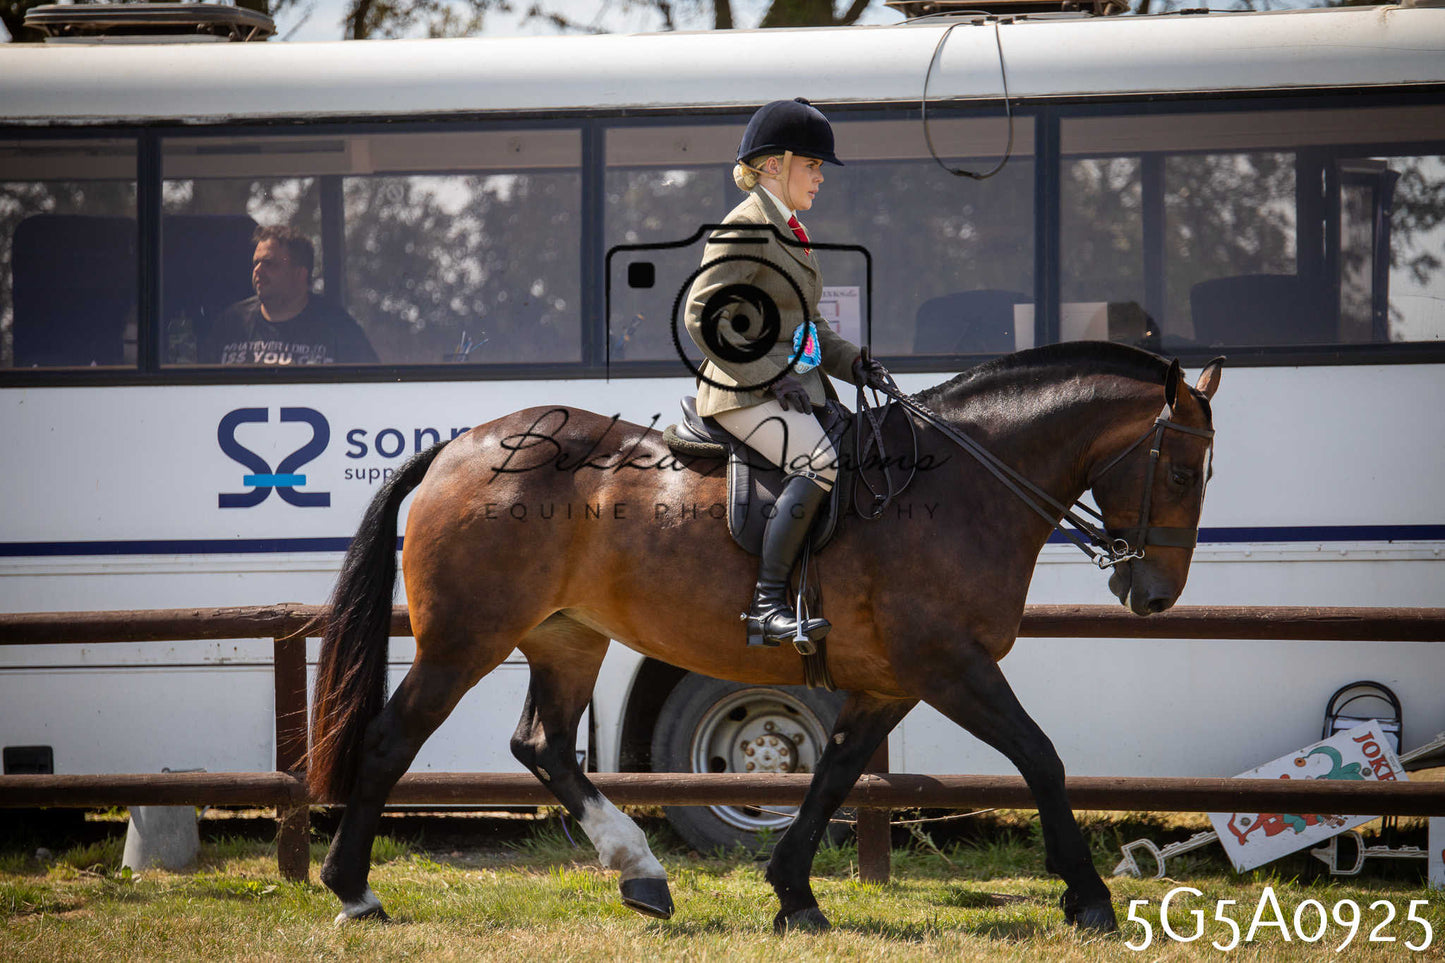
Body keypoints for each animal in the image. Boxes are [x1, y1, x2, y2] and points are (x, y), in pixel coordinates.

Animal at [308, 341, 1222, 933]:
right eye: (1180, 471)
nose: (1151, 593)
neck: (963, 483)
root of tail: (457, 448)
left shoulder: (889, 681)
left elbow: (833, 774)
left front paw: (794, 894)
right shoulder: (948, 665)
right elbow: (1040, 755)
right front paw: (1088, 895)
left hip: (566, 638)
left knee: (544, 745)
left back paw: (642, 874)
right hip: (465, 638)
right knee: (390, 739)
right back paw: (355, 892)